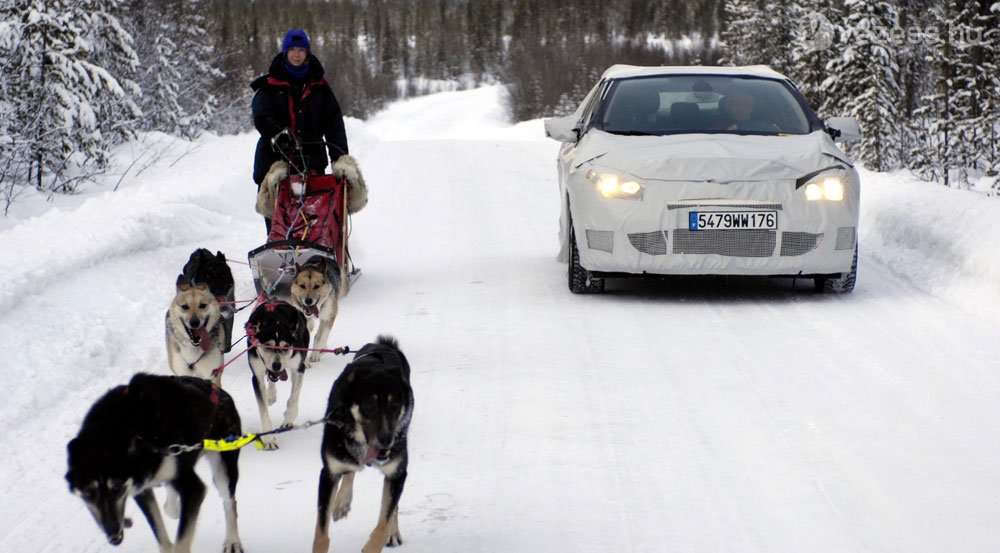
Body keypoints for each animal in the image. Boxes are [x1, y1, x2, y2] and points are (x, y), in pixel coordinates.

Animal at [246, 298, 308, 448]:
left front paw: (288, 418)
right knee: (271, 381)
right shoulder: (257, 377)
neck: (276, 320)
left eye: (285, 347)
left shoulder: (299, 368)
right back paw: (271, 395)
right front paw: (268, 438)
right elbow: (263, 410)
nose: (277, 365)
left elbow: (293, 398)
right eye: (268, 346)